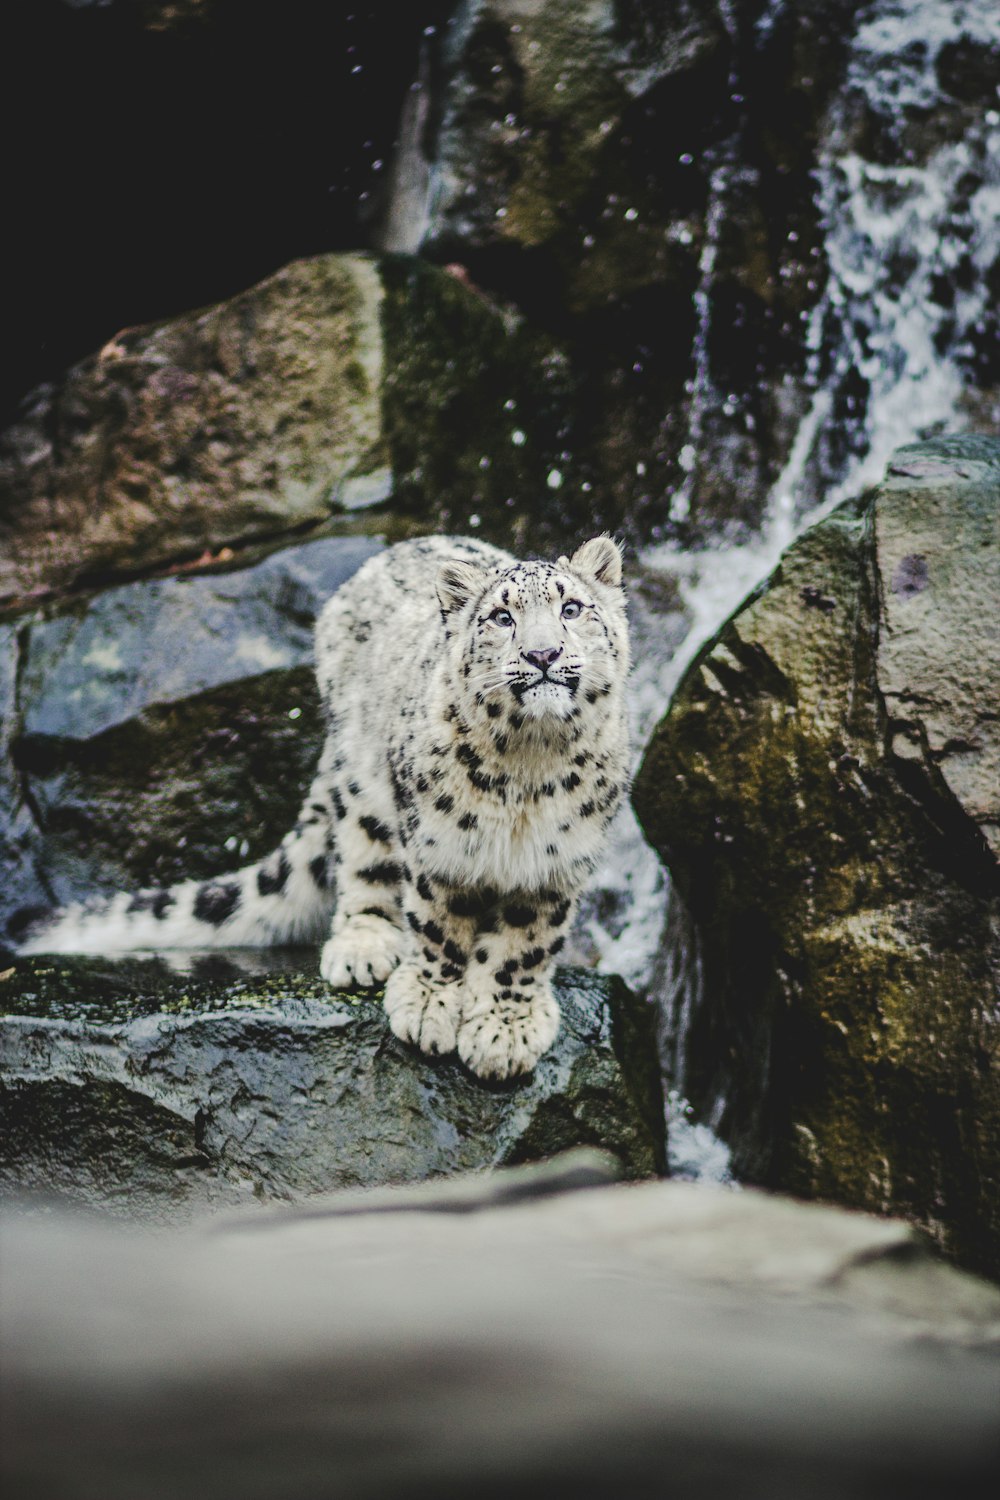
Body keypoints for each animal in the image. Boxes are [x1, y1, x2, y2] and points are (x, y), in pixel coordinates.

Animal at [19, 540, 629, 1080]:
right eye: (502, 617)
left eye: (572, 608)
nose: (543, 655)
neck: (529, 771)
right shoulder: (438, 844)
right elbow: (438, 923)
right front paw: (429, 1004)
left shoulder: (555, 863)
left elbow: (524, 947)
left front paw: (505, 1029)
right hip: (363, 785)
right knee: (362, 860)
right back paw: (363, 946)